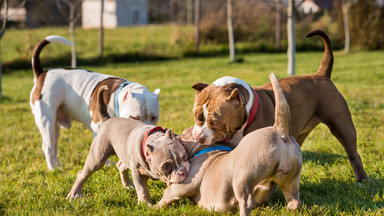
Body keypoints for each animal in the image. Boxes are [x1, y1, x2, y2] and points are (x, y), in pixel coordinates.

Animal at [158, 73, 302, 216]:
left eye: (215, 123)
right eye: (195, 115)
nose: (198, 137)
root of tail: (280, 131)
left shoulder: (182, 185)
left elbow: (167, 195)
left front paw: (154, 207)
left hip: (242, 178)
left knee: (246, 201)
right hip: (290, 181)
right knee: (293, 201)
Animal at [190, 29, 368, 182]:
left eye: (215, 123)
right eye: (196, 116)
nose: (198, 137)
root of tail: (321, 75)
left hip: (342, 124)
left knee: (353, 152)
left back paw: (362, 180)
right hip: (298, 132)